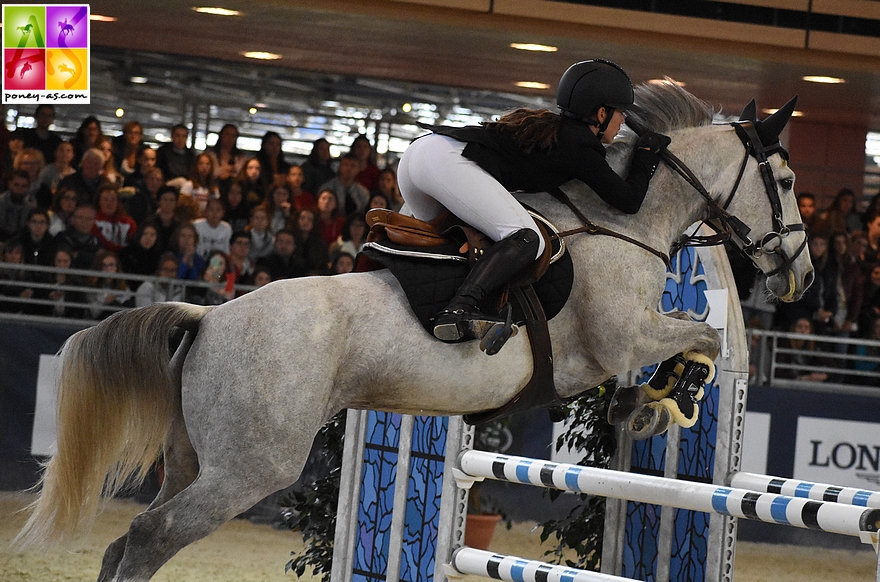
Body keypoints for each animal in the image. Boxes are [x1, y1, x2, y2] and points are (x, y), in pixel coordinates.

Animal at [15, 80, 812, 580]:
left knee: (130, 542)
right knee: (150, 540)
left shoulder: (621, 342)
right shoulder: (622, 337)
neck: (623, 221)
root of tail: (207, 318)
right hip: (249, 468)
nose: (799, 280)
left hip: (192, 460)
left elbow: (691, 338)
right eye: (787, 182)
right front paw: (663, 402)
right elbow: (702, 338)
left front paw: (639, 405)